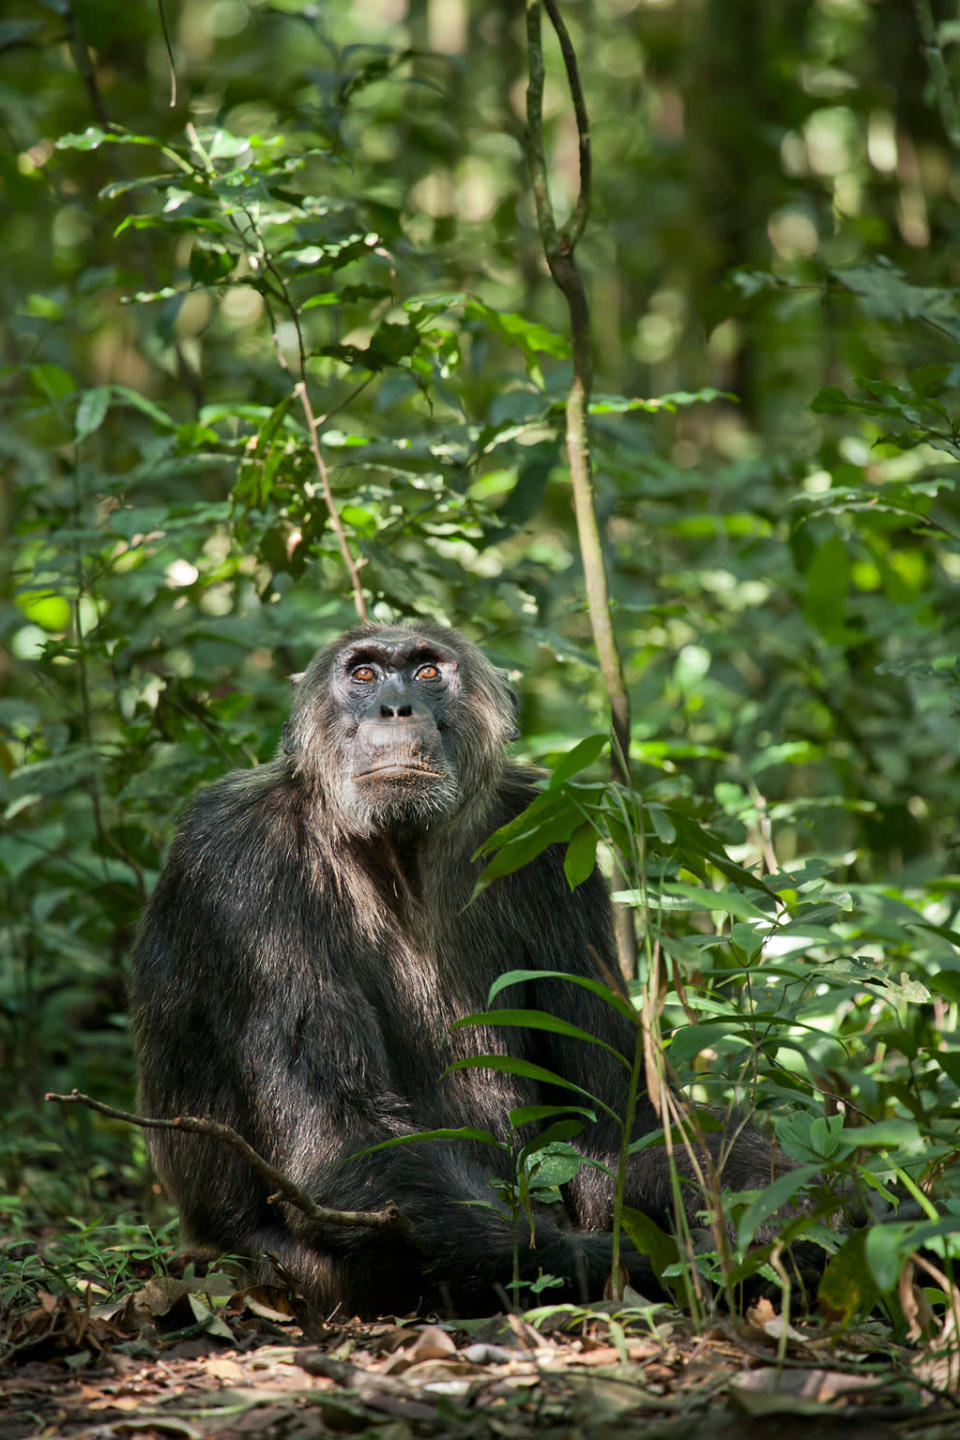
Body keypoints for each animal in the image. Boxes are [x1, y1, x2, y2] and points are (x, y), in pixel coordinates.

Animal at [131, 622, 782, 1319]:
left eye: (426, 672)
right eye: (362, 674)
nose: (395, 706)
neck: (398, 852)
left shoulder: (551, 842)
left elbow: (617, 1111)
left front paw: (782, 1209)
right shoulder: (241, 867)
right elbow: (339, 1138)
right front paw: (643, 1264)